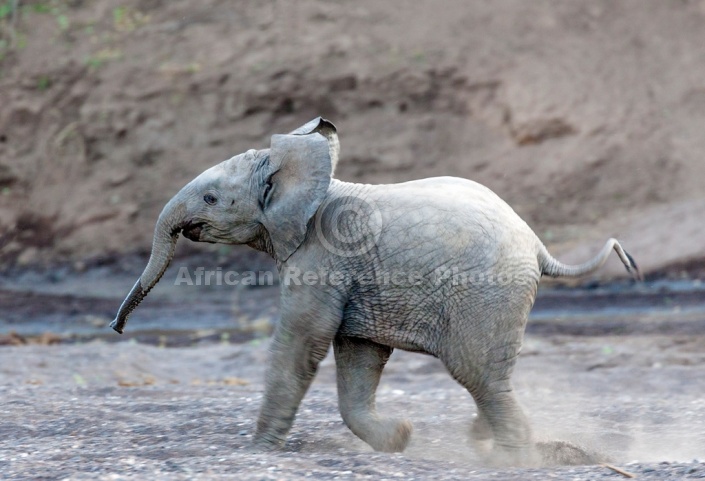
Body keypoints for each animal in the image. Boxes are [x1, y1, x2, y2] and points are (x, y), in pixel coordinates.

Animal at [111, 116, 640, 464]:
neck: (307, 171)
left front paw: (258, 453)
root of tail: (536, 244)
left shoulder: (323, 258)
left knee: (477, 373)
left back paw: (510, 458)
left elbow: (304, 340)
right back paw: (482, 438)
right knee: (488, 378)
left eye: (211, 198)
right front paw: (400, 438)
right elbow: (358, 353)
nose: (116, 327)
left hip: (486, 295)